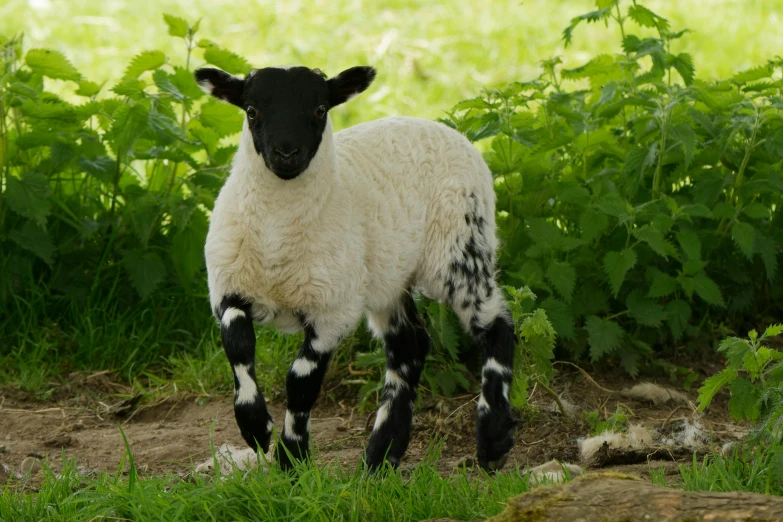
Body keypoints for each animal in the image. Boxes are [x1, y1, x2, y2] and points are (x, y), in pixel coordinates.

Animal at [194, 63, 516, 470]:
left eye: (320, 109)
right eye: (251, 111)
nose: (286, 153)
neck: (276, 241)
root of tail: (443, 126)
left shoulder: (332, 310)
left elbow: (300, 383)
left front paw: (291, 457)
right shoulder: (229, 290)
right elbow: (237, 347)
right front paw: (255, 427)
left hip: (460, 248)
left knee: (496, 326)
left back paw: (493, 439)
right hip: (388, 278)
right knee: (410, 346)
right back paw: (380, 458)